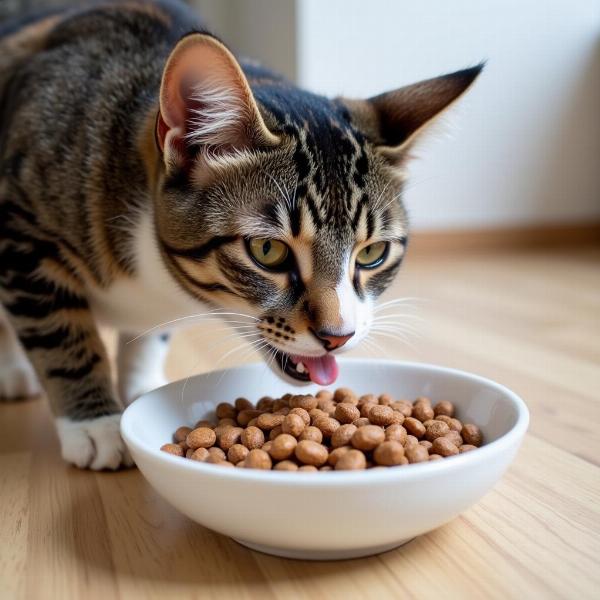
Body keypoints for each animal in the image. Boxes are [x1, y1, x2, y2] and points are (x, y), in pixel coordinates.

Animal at [0, 0, 480, 468]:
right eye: (267, 250)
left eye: (372, 253)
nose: (338, 336)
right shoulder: (21, 229)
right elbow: (60, 333)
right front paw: (95, 423)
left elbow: (148, 335)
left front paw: (141, 383)